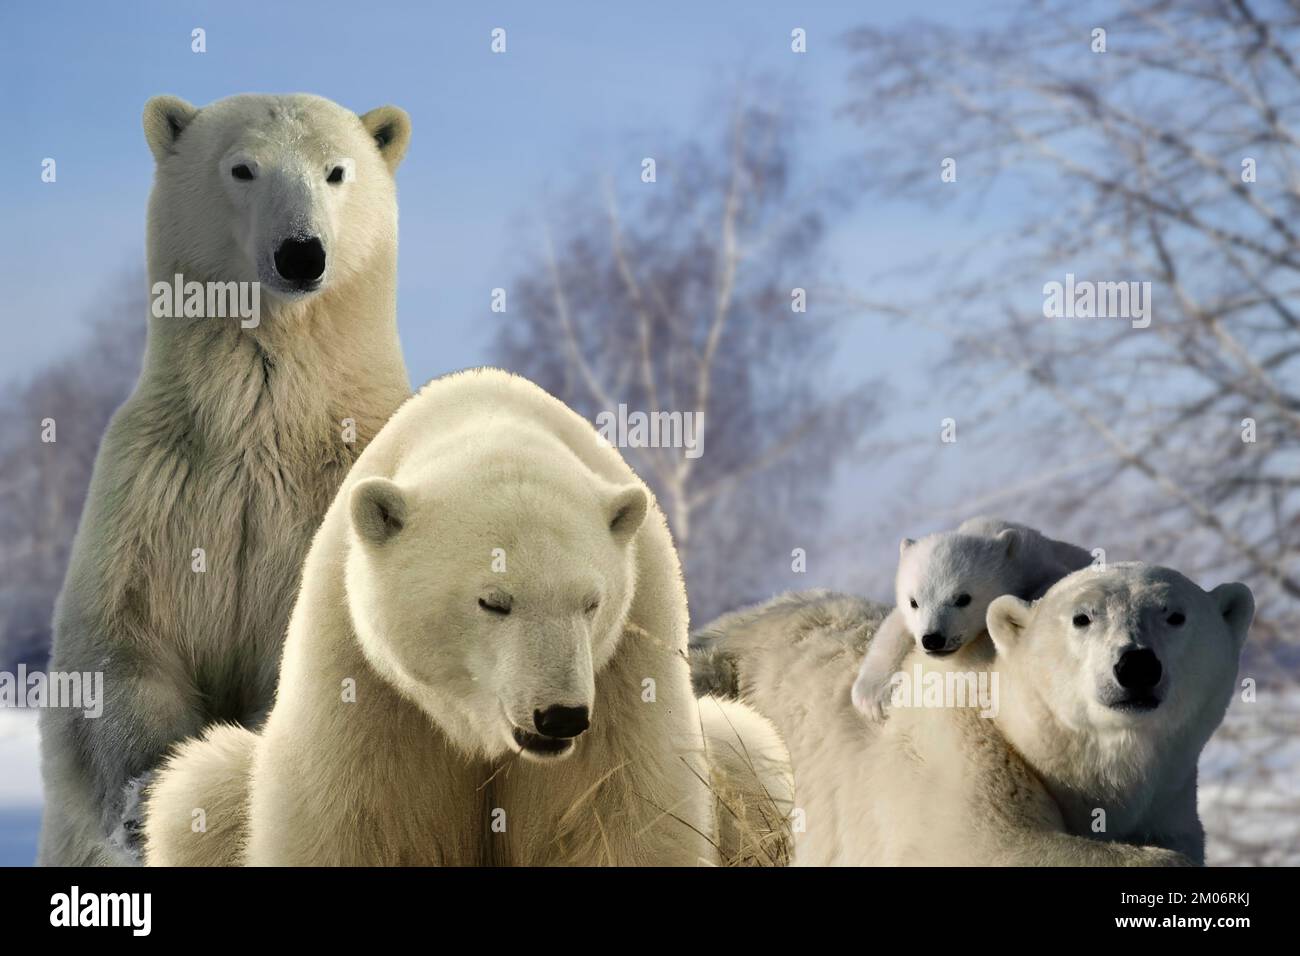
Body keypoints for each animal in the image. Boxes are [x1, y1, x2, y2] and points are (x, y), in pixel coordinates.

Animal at [38, 91, 410, 868]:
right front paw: (145, 804)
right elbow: (123, 640)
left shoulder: (348, 486)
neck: (261, 425)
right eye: (243, 168)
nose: (301, 252)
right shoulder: (156, 484)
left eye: (336, 171)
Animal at [144, 366, 790, 868]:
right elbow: (342, 823)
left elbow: (623, 814)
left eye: (591, 601)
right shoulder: (361, 678)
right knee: (198, 790)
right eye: (494, 601)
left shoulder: (625, 670)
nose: (559, 716)